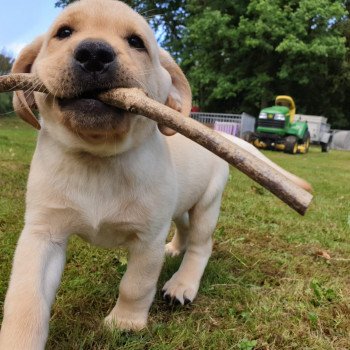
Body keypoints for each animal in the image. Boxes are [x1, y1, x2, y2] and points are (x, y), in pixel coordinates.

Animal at [0, 1, 308, 348]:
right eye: (63, 33)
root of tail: (222, 134)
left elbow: (136, 284)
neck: (97, 159)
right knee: (183, 228)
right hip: (181, 205)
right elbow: (26, 298)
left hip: (208, 203)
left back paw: (182, 284)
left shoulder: (148, 237)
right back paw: (174, 249)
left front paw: (125, 322)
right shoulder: (42, 232)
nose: (94, 53)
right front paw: (19, 340)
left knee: (202, 244)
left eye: (136, 42)